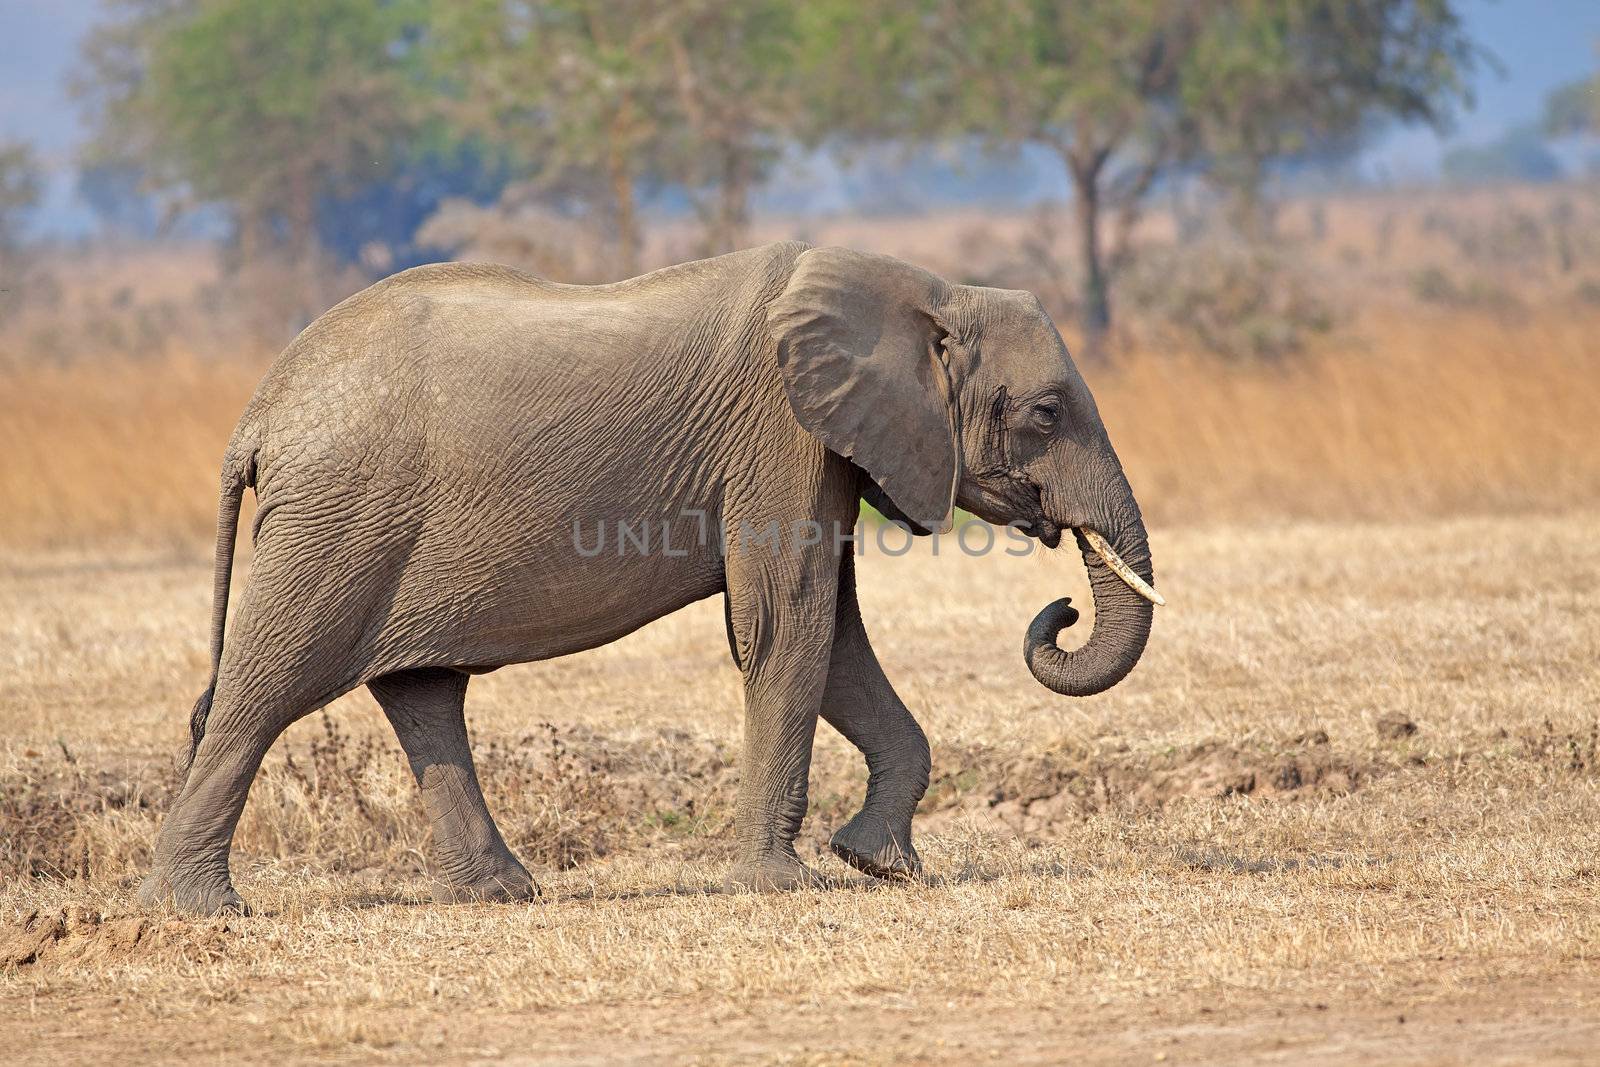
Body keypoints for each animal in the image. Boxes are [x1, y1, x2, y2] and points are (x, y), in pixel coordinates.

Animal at [140, 244, 1164, 921]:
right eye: (1045, 413)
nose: (1062, 608)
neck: (924, 288)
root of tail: (258, 417)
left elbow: (831, 637)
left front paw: (883, 865)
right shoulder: (778, 433)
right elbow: (786, 628)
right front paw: (786, 885)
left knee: (419, 689)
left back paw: (503, 893)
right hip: (339, 521)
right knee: (264, 691)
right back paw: (198, 909)